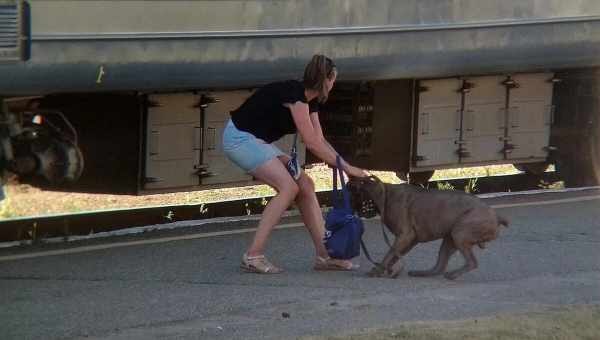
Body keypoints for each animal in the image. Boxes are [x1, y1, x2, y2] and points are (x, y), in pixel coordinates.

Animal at [344, 175, 508, 278]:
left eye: (353, 194)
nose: (347, 184)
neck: (384, 194)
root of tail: (496, 215)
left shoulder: (405, 235)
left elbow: (390, 253)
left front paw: (379, 269)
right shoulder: (409, 240)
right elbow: (395, 255)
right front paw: (386, 269)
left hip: (460, 232)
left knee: (471, 262)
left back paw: (453, 275)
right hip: (450, 238)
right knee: (439, 266)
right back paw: (422, 273)